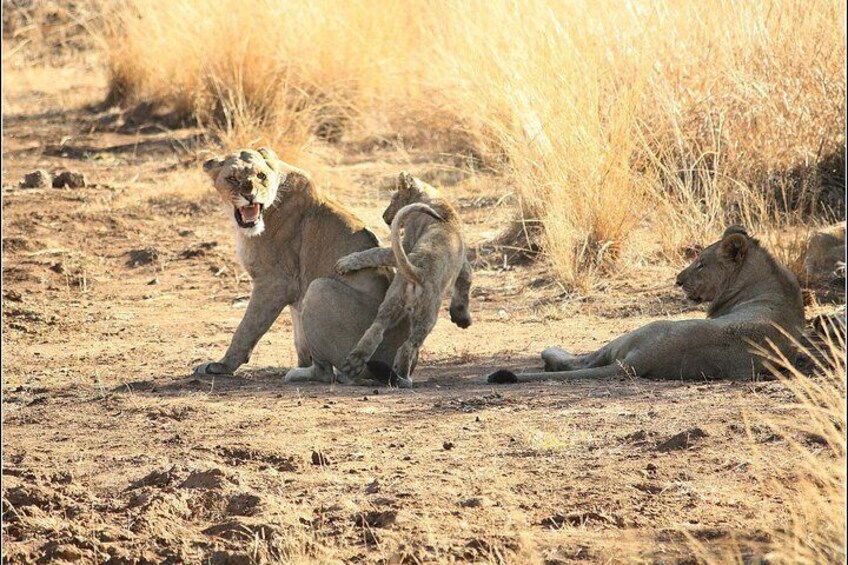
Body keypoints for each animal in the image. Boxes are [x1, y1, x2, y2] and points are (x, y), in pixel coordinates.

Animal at [193, 147, 408, 384]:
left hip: (319, 289)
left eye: (261, 176)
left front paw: (220, 366)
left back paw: (298, 374)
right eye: (232, 178)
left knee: (326, 374)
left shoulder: (275, 283)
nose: (249, 194)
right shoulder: (294, 291)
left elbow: (247, 328)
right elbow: (299, 339)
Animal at [334, 172, 473, 388]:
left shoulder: (460, 261)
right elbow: (376, 252)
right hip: (426, 317)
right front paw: (345, 262)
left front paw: (461, 317)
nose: (384, 216)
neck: (434, 198)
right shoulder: (406, 245)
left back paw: (352, 366)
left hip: (393, 301)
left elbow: (466, 279)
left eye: (393, 199)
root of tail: (418, 271)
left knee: (376, 331)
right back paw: (403, 378)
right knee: (408, 346)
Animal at [487, 226, 805, 383]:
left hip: (635, 332)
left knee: (583, 359)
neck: (771, 278)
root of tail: (639, 362)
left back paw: (550, 352)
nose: (678, 280)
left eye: (701, 264)